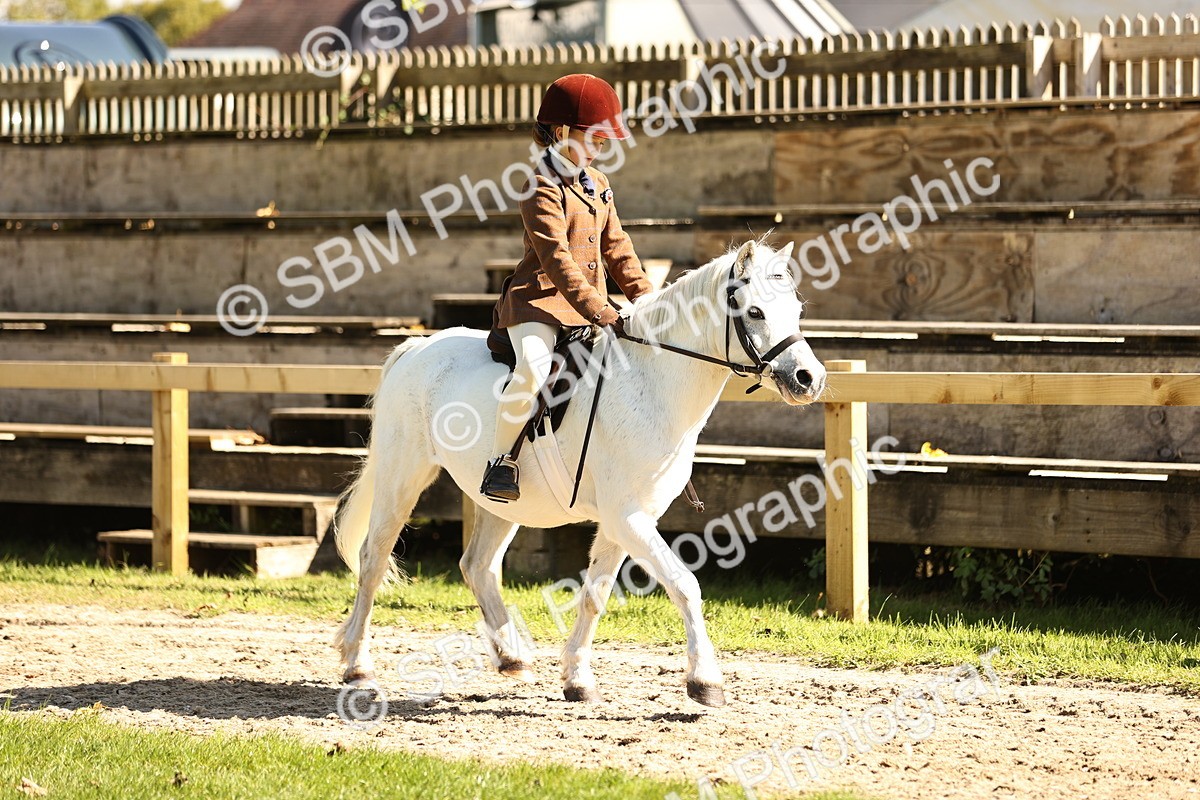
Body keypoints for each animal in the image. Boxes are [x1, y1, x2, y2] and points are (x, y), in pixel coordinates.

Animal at [333, 238, 827, 707]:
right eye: (755, 311)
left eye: (798, 309)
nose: (809, 379)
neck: (651, 382)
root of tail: (417, 347)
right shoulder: (626, 517)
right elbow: (685, 584)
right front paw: (705, 681)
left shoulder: (623, 521)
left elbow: (595, 594)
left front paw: (577, 679)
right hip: (402, 476)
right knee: (374, 560)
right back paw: (358, 666)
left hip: (499, 499)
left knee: (478, 565)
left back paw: (512, 658)